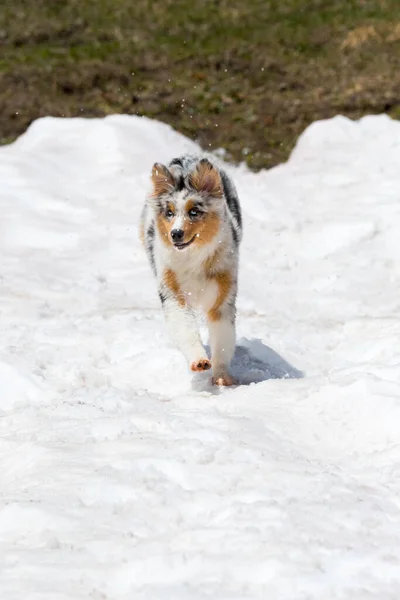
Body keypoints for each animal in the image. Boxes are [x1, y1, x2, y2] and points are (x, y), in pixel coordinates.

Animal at [139, 155, 242, 386]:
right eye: (169, 213)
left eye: (194, 212)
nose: (176, 233)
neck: (193, 259)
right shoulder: (172, 293)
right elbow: (185, 329)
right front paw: (200, 362)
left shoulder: (222, 297)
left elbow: (222, 339)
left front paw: (222, 378)